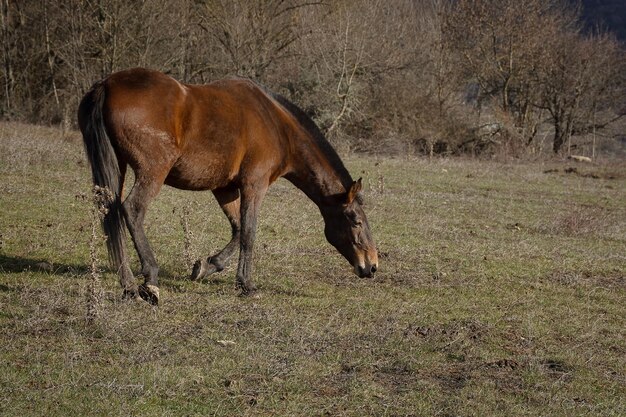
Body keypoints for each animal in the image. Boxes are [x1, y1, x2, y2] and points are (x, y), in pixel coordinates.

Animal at [77, 66, 376, 304]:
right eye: (356, 220)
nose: (371, 266)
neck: (277, 125)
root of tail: (107, 84)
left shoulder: (225, 188)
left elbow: (238, 229)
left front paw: (207, 266)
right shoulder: (254, 185)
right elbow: (249, 232)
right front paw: (246, 285)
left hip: (118, 168)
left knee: (111, 214)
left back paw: (128, 285)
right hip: (152, 172)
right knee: (132, 210)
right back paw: (149, 278)